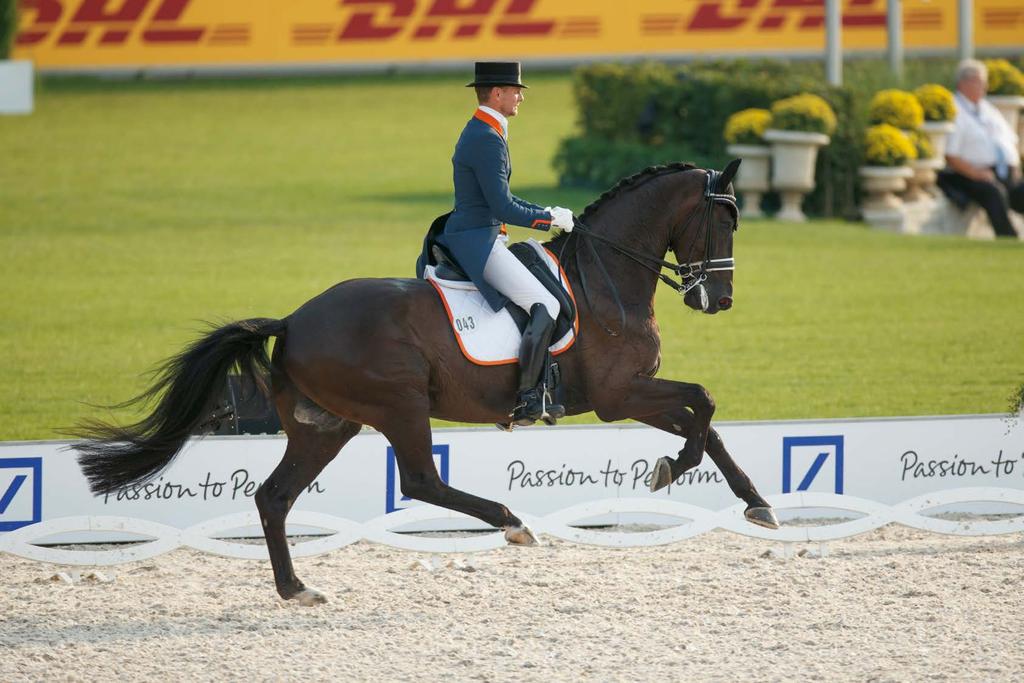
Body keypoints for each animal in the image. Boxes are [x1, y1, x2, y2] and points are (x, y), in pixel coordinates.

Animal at [74, 162, 774, 606]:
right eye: (726, 221)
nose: (720, 300)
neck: (605, 277)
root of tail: (294, 321)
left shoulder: (630, 393)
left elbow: (706, 419)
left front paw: (753, 501)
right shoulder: (616, 396)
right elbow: (703, 407)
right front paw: (670, 468)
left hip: (326, 425)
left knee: (275, 497)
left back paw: (297, 589)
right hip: (399, 405)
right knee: (418, 480)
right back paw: (512, 523)